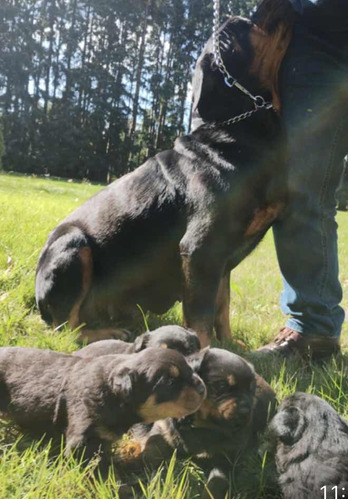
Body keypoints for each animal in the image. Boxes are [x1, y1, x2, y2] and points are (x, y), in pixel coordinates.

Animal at [0, 346, 207, 470]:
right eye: (170, 383)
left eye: (191, 370)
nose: (202, 389)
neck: (112, 396)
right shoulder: (81, 439)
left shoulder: (103, 439)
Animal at [35, 17, 290, 350]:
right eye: (243, 28)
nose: (272, 12)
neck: (237, 133)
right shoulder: (200, 248)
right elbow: (201, 315)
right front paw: (206, 352)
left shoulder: (220, 261)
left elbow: (222, 305)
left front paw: (231, 345)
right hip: (73, 247)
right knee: (67, 327)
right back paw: (107, 333)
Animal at [115, 348, 276, 496]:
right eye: (221, 386)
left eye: (251, 390)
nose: (245, 411)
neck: (199, 426)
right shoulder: (161, 438)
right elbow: (150, 459)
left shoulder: (224, 460)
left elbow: (216, 484)